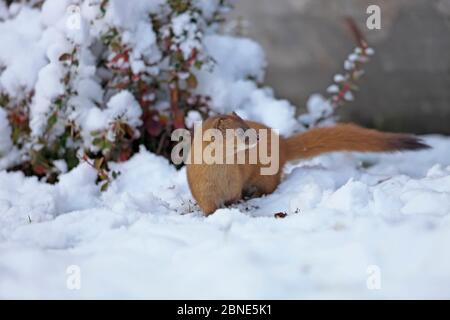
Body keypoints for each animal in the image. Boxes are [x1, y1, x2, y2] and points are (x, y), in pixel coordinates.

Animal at [185, 112, 428, 215]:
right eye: (242, 132)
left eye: (248, 126)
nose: (258, 137)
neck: (220, 177)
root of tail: (282, 143)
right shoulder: (202, 191)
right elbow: (207, 206)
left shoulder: (235, 184)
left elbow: (234, 197)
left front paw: (236, 205)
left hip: (266, 175)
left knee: (270, 185)